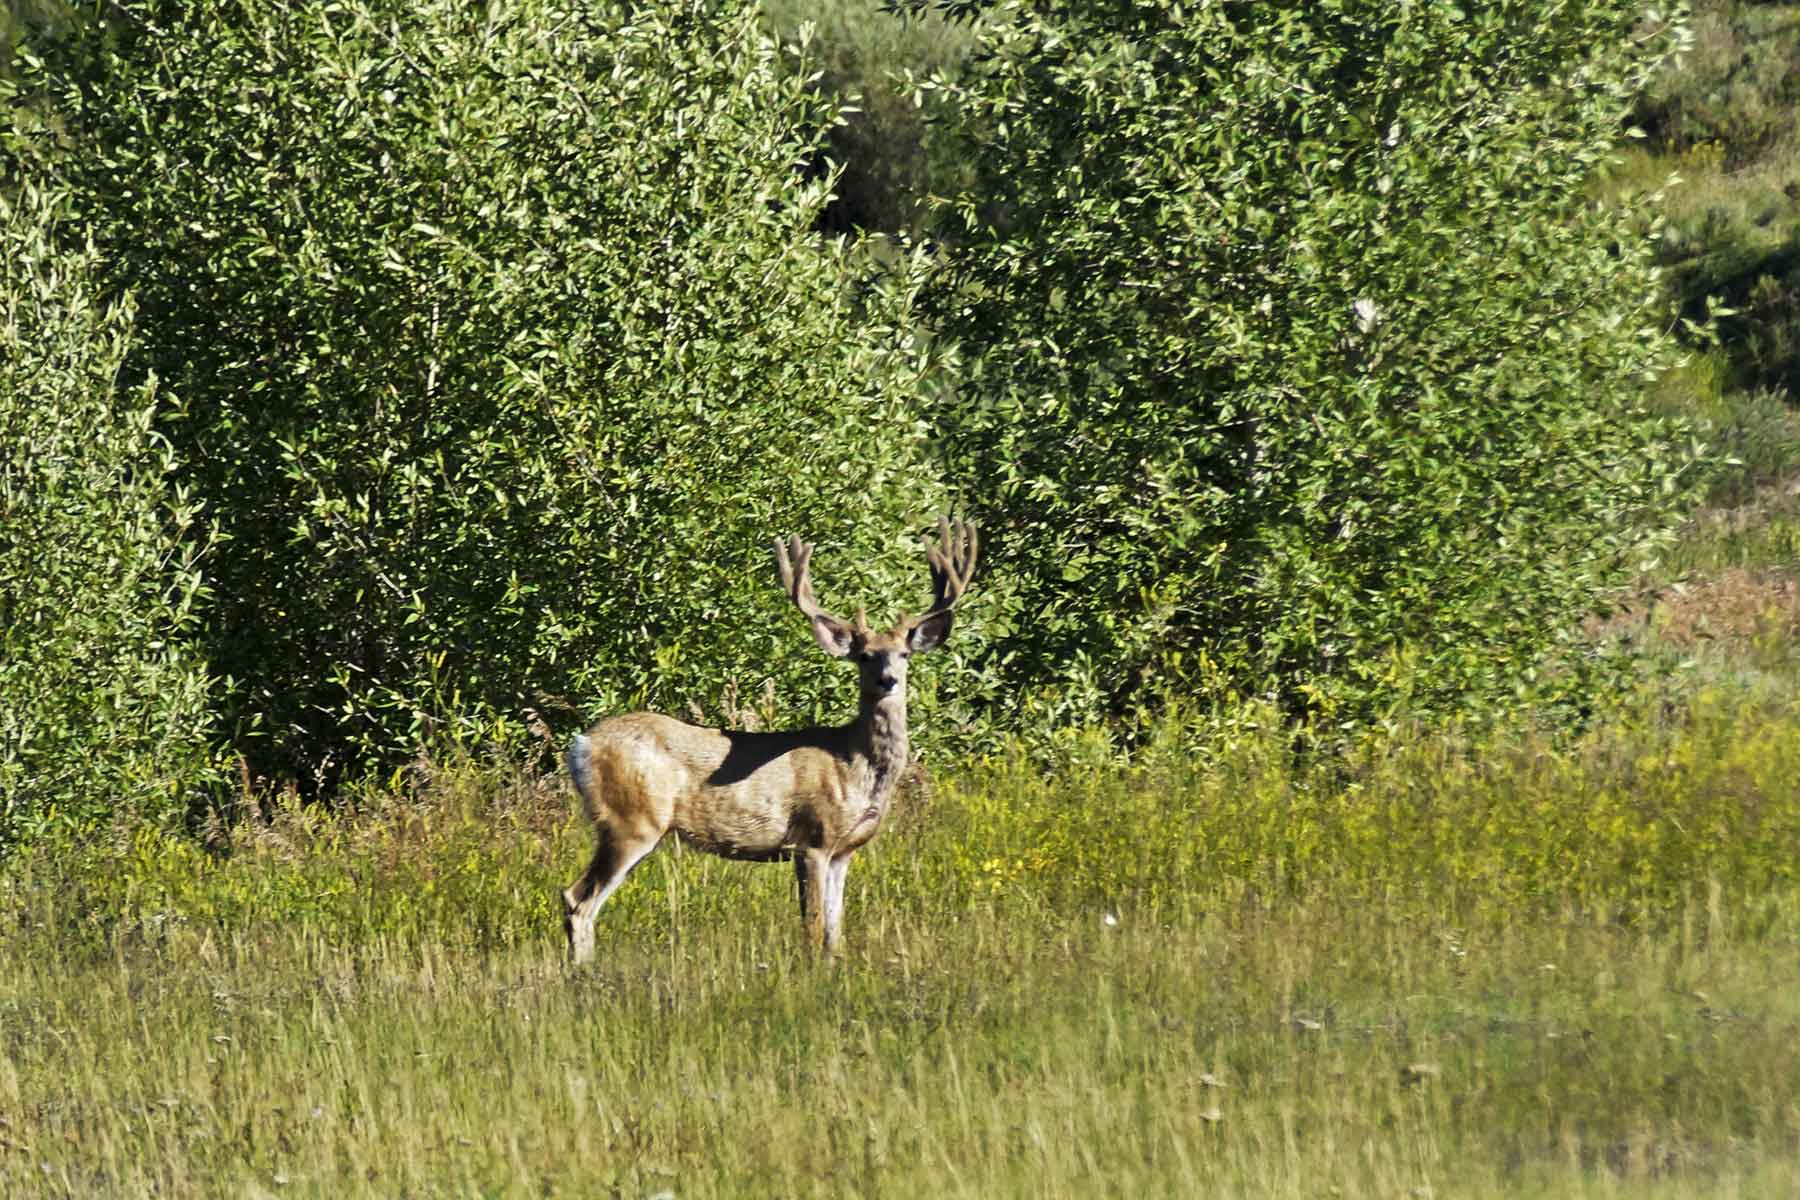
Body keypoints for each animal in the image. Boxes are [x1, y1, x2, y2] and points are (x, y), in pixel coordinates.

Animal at [560, 518, 978, 964]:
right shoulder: (812, 838)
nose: (888, 680)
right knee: (579, 900)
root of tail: (580, 745)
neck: (853, 763)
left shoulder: (844, 850)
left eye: (903, 653)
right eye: (864, 655)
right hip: (630, 820)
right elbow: (813, 926)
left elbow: (835, 930)